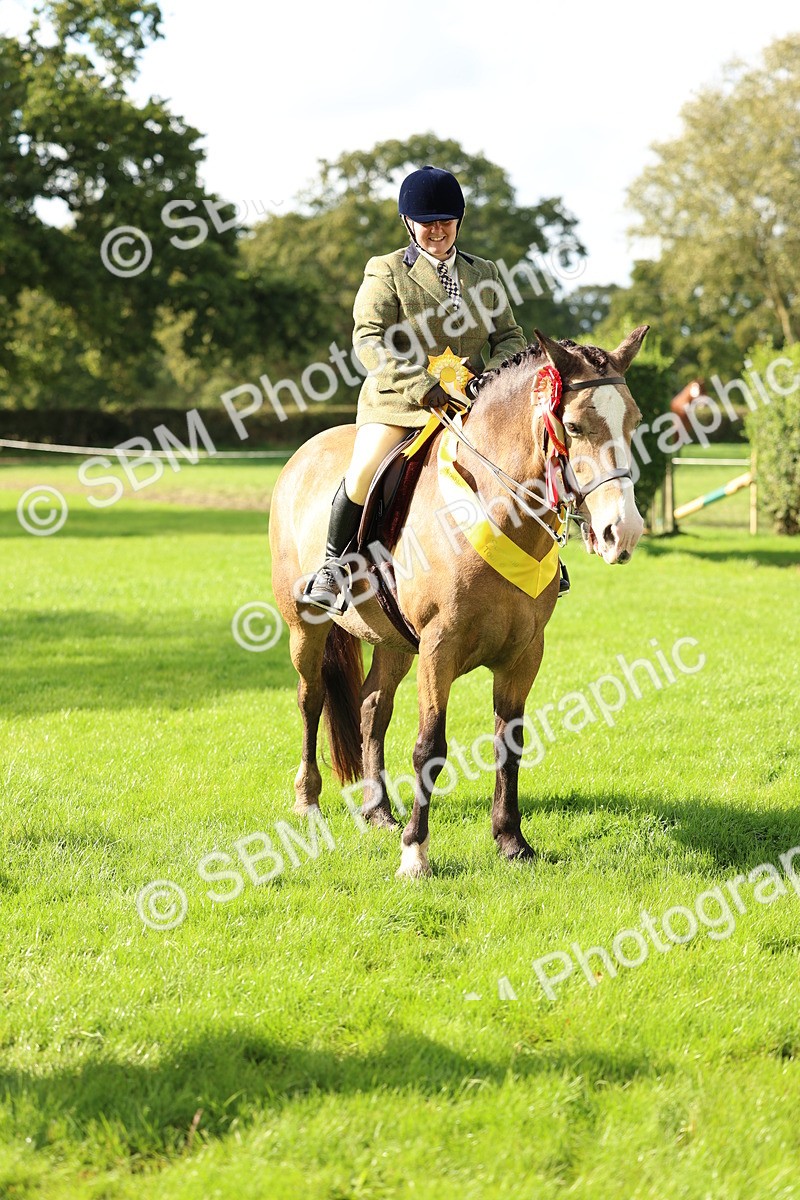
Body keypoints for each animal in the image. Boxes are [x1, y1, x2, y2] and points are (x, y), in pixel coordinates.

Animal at [269, 326, 649, 877]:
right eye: (574, 426)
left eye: (634, 421)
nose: (623, 531)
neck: (496, 506)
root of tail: (305, 453)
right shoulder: (438, 648)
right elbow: (429, 747)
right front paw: (415, 854)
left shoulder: (524, 654)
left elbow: (510, 743)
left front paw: (511, 841)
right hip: (307, 626)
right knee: (310, 698)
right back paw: (308, 801)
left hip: (393, 641)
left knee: (371, 707)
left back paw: (378, 811)